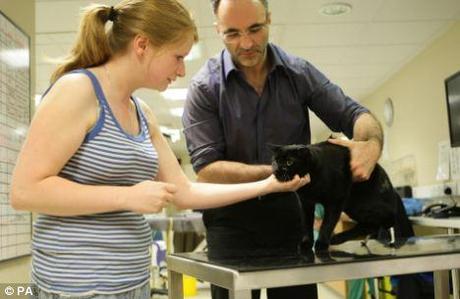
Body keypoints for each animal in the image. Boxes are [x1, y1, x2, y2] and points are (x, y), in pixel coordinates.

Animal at [272, 142, 416, 254]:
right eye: (275, 161)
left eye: (289, 162)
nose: (277, 170)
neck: (311, 184)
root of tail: (392, 189)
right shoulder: (306, 203)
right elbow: (307, 225)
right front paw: (306, 244)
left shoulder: (335, 201)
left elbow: (327, 224)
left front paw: (321, 244)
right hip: (354, 208)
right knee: (370, 226)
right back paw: (341, 239)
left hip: (360, 204)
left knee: (385, 220)